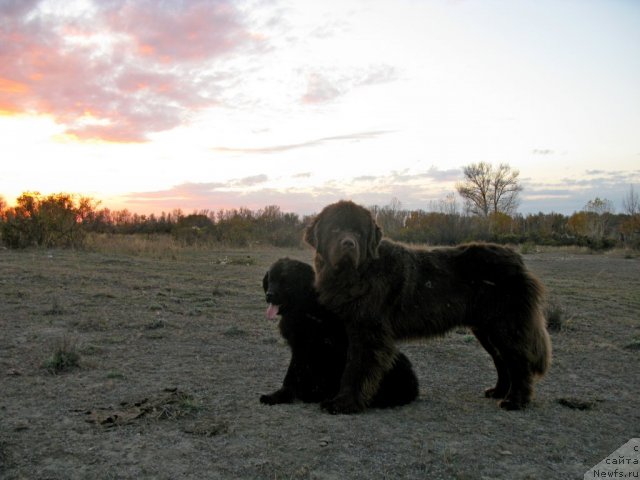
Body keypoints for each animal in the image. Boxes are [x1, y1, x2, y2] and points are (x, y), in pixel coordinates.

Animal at [260, 258, 420, 408]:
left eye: (285, 282)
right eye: (271, 280)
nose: (269, 295)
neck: (304, 306)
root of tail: (413, 387)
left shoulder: (303, 349)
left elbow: (292, 375)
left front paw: (280, 396)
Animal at [304, 199, 552, 412]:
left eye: (358, 232)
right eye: (335, 229)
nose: (348, 243)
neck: (359, 273)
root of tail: (517, 259)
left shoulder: (368, 331)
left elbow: (356, 368)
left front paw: (344, 403)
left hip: (505, 326)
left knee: (518, 362)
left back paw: (515, 401)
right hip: (486, 328)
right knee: (501, 360)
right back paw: (498, 392)